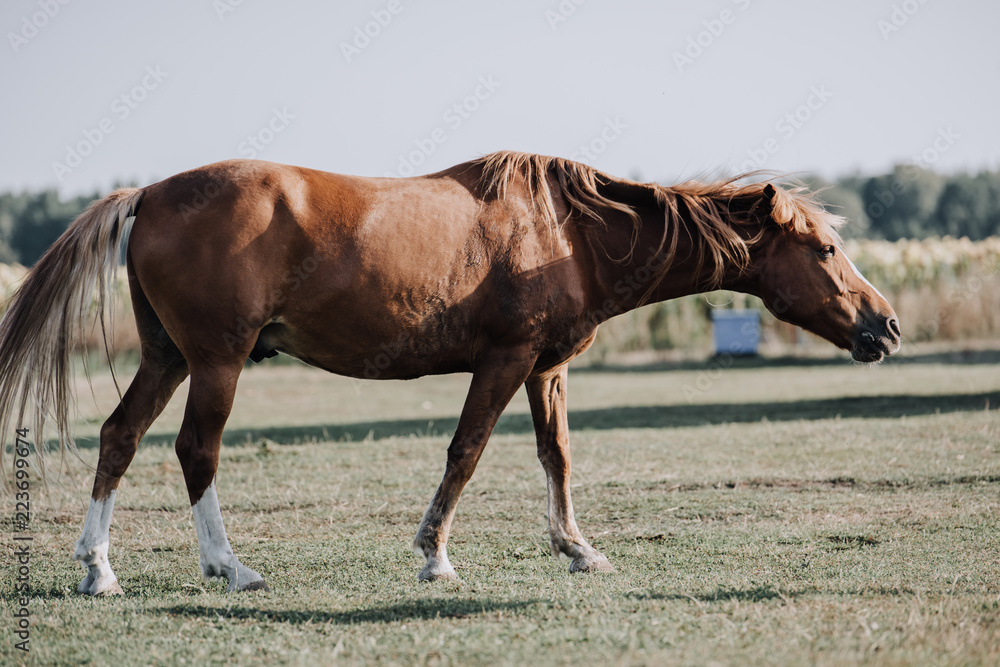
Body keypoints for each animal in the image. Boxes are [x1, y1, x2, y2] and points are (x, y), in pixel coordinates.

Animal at [0, 151, 900, 594]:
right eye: (827, 248)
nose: (885, 324)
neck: (570, 231)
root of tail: (149, 193)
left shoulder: (545, 369)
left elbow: (556, 457)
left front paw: (577, 548)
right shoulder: (502, 361)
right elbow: (465, 452)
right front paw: (434, 555)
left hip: (168, 358)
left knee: (119, 438)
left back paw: (99, 568)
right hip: (215, 361)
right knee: (196, 452)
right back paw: (227, 566)